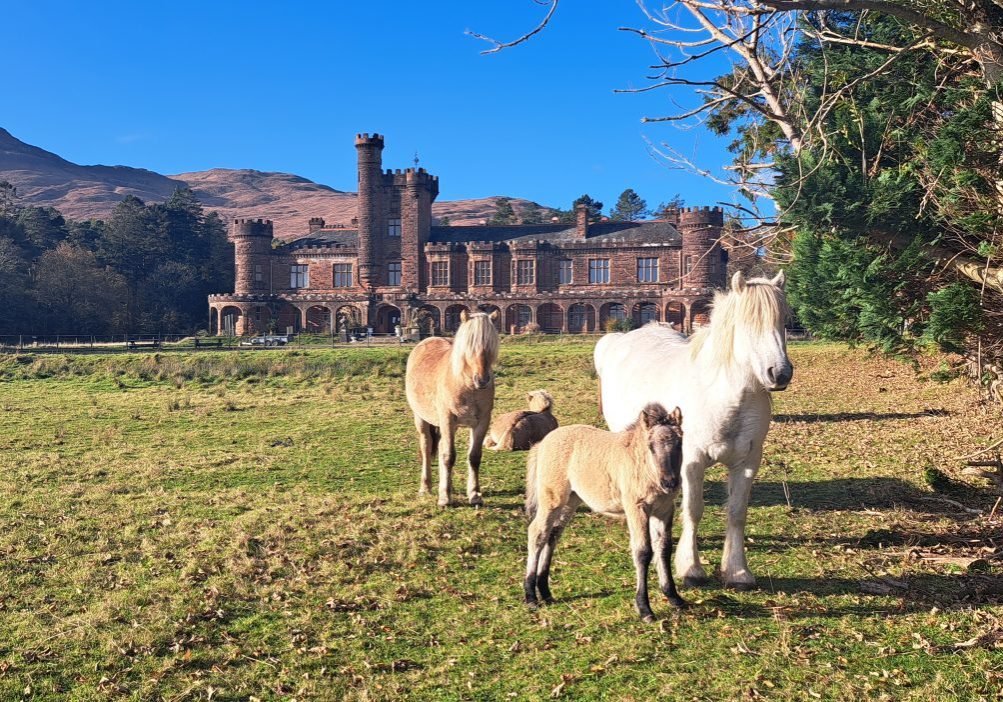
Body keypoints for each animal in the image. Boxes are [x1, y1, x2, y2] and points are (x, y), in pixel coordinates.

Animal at [405, 308, 499, 507]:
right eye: (469, 347)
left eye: (490, 346)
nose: (482, 380)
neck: (466, 385)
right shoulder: (448, 419)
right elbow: (449, 456)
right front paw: (445, 499)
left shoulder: (482, 422)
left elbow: (474, 457)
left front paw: (474, 494)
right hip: (422, 419)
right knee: (427, 447)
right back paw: (426, 487)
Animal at [525, 403, 682, 621]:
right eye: (650, 446)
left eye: (679, 444)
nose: (670, 483)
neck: (643, 467)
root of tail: (542, 444)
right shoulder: (636, 508)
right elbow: (643, 552)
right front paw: (644, 608)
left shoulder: (665, 510)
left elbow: (664, 548)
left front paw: (674, 596)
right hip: (552, 498)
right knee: (537, 533)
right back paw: (531, 596)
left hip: (571, 501)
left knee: (553, 534)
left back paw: (545, 592)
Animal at [593, 270, 790, 589]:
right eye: (748, 323)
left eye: (784, 319)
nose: (780, 373)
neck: (723, 395)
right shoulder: (692, 462)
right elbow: (694, 510)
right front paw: (690, 568)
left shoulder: (747, 463)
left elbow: (737, 512)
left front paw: (737, 571)